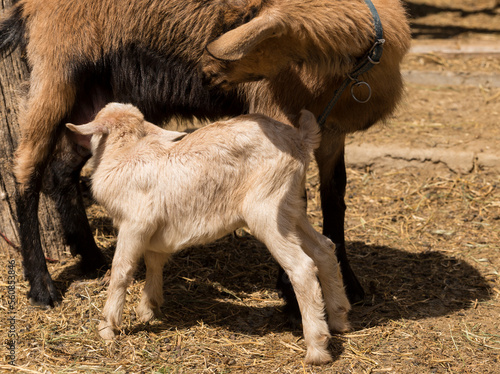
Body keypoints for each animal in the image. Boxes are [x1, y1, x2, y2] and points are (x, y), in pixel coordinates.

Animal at [0, 0, 410, 318]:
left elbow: (335, 197)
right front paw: (294, 298)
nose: (207, 67)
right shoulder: (276, 110)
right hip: (55, 69)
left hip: (97, 94)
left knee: (63, 169)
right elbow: (298, 200)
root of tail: (26, 8)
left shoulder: (331, 132)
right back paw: (42, 288)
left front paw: (349, 283)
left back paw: (91, 258)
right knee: (27, 170)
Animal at [64, 103, 350, 366]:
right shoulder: (154, 229)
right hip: (291, 207)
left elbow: (121, 271)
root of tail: (300, 140)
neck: (126, 153)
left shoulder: (135, 224)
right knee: (325, 248)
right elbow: (154, 261)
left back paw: (317, 347)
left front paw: (107, 326)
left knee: (301, 267)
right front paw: (148, 308)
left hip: (267, 209)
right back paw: (338, 318)